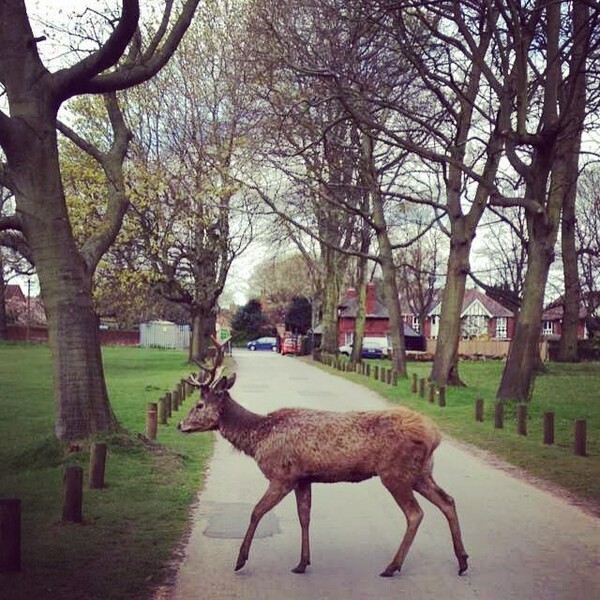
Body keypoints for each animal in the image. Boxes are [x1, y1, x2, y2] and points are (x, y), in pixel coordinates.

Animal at [177, 338, 468, 576]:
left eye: (199, 405)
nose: (180, 425)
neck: (259, 437)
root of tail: (435, 435)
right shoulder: (303, 478)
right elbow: (304, 516)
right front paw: (302, 562)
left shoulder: (282, 475)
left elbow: (256, 511)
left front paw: (240, 560)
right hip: (422, 472)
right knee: (448, 501)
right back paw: (462, 561)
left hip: (395, 473)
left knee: (415, 513)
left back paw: (392, 566)